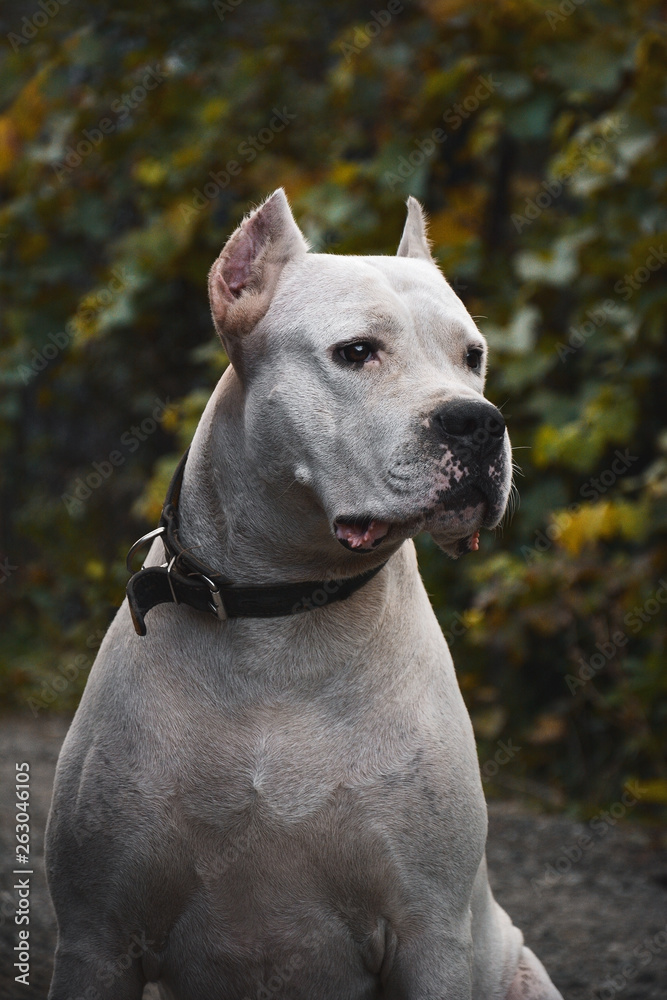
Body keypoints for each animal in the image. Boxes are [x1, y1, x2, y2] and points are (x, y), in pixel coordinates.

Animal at [45, 189, 564, 1000]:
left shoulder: (429, 936)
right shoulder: (98, 936)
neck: (281, 614)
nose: (478, 421)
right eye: (356, 352)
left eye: (472, 356)